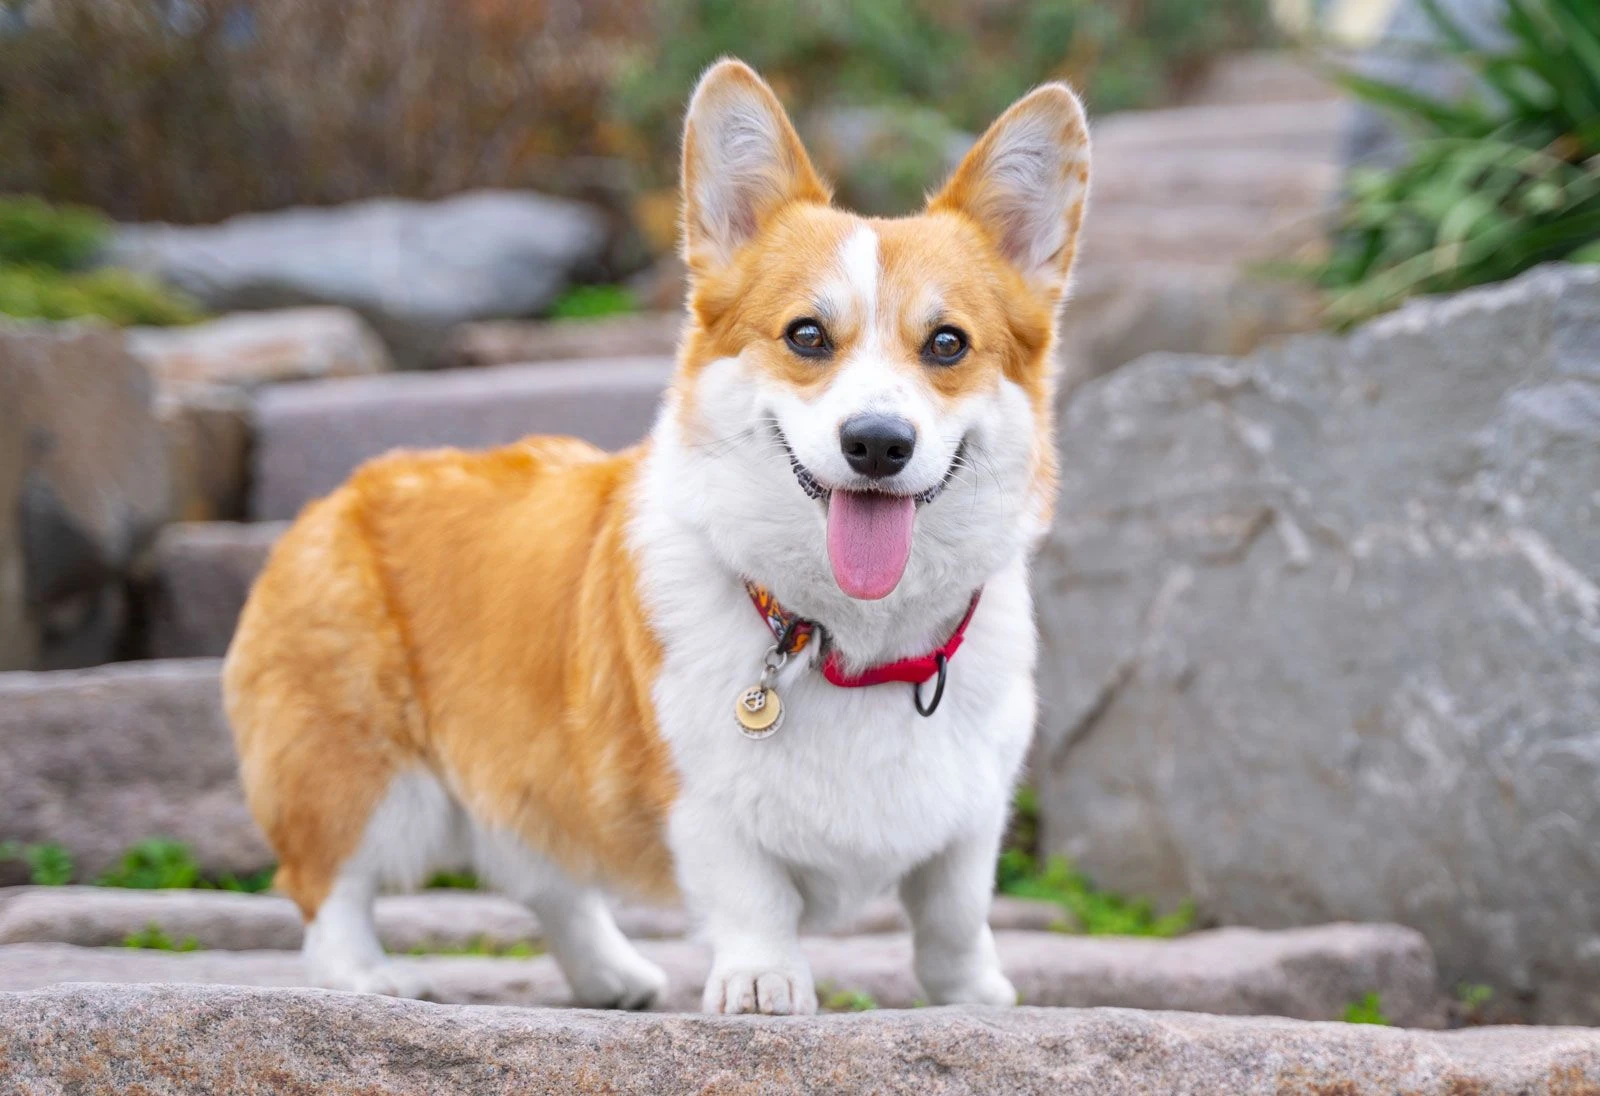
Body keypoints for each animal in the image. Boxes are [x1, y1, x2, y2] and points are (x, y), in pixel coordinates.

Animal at [222, 60, 1088, 1011]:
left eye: (947, 344)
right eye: (807, 335)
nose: (877, 443)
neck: (847, 641)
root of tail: (339, 493)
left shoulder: (971, 811)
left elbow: (954, 911)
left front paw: (974, 995)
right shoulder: (699, 795)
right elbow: (752, 892)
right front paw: (763, 982)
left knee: (547, 875)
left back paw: (611, 975)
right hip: (357, 771)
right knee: (327, 884)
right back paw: (365, 980)